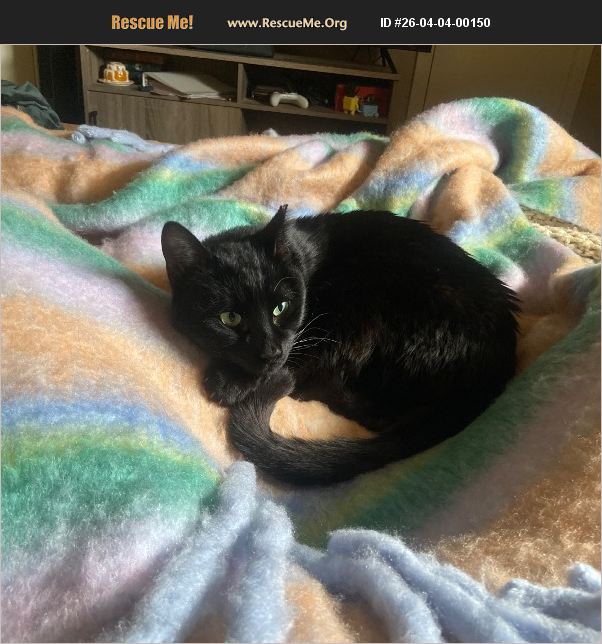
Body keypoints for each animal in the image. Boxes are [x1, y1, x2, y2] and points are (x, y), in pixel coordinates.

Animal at [161, 206, 519, 485]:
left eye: (281, 308)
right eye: (230, 318)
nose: (271, 351)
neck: (301, 259)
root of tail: (498, 364)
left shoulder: (318, 333)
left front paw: (228, 382)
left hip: (360, 302)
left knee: (366, 408)